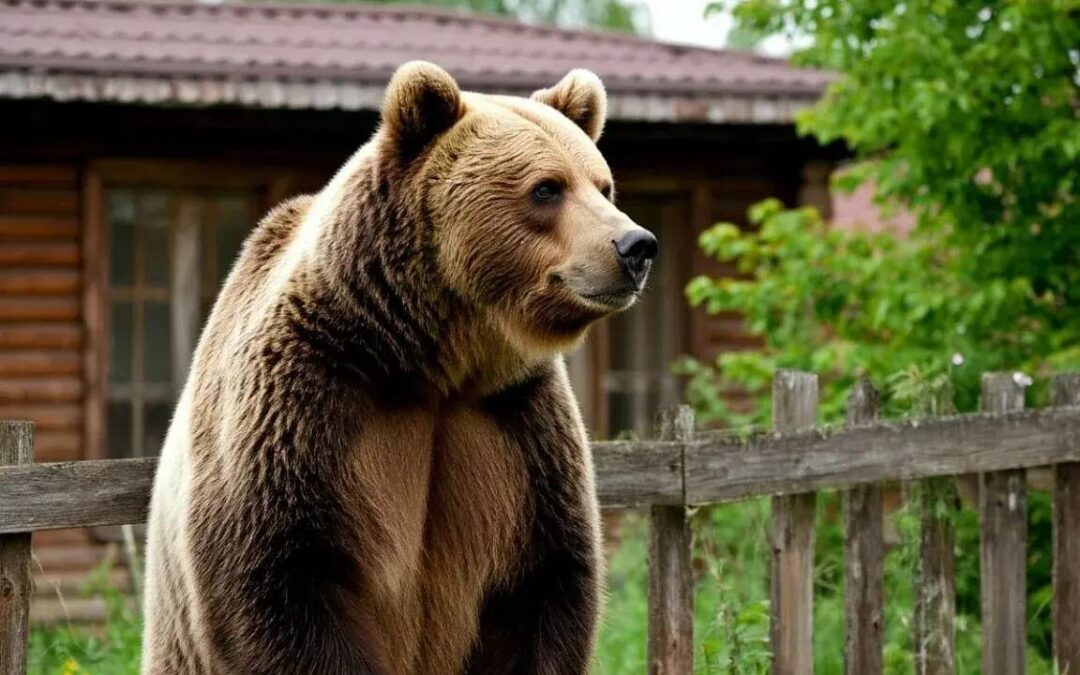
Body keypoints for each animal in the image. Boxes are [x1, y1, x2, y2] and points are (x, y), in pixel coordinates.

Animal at [141, 61, 657, 675]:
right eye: (547, 187)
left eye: (603, 185)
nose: (635, 245)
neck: (435, 364)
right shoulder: (305, 405)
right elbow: (281, 580)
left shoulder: (518, 433)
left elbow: (545, 589)